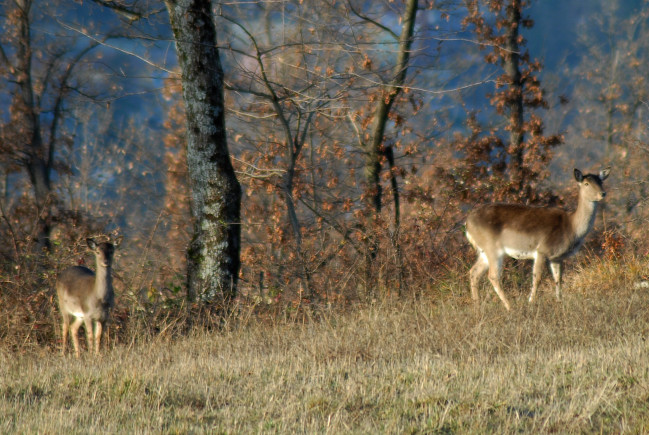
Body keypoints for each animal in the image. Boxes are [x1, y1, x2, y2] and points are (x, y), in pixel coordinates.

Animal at [464, 169, 612, 312]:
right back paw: (510, 307)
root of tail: (467, 223)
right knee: (493, 276)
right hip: (493, 248)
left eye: (600, 181)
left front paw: (559, 302)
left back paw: (476, 306)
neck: (571, 227)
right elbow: (537, 278)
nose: (602, 193)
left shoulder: (557, 257)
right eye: (586, 183)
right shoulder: (542, 250)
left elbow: (558, 279)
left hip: (484, 251)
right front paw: (531, 303)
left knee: (474, 272)